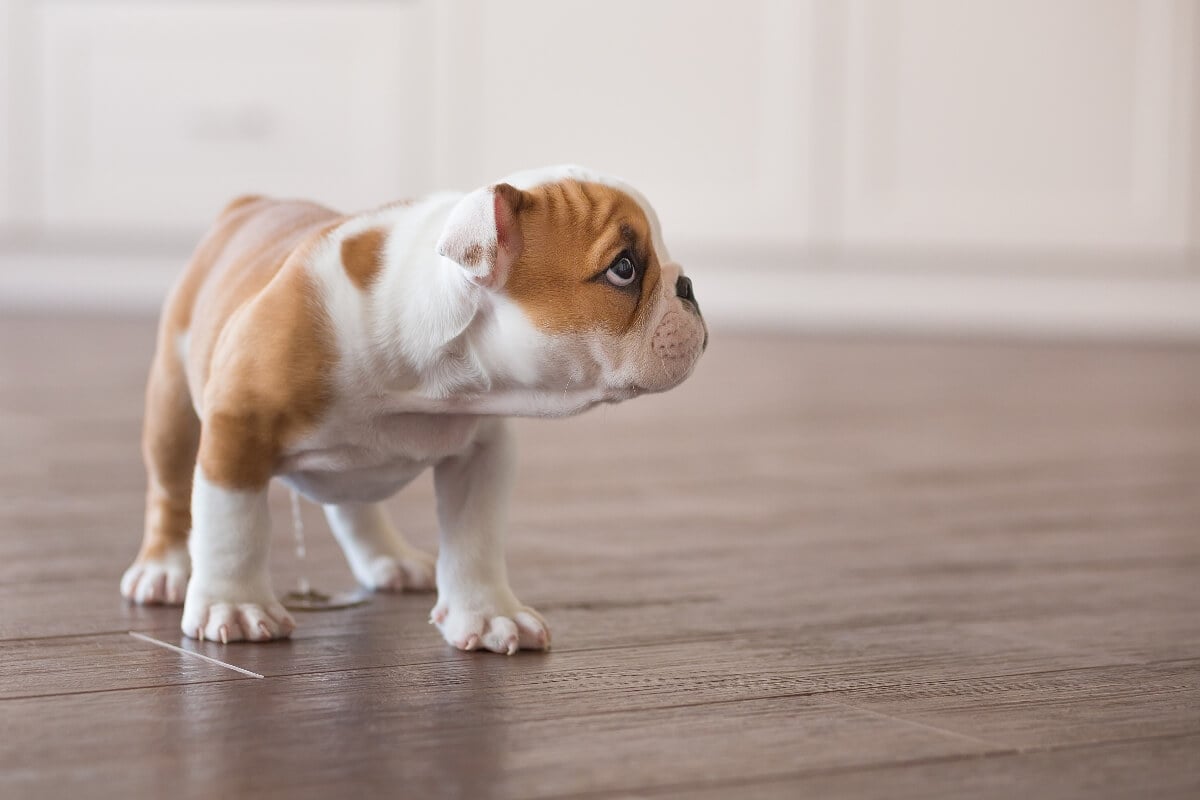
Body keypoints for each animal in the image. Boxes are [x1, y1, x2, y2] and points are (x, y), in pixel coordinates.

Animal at [118, 165, 705, 652]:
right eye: (623, 269)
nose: (688, 284)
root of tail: (248, 205)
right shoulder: (238, 428)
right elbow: (232, 526)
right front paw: (233, 605)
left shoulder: (483, 454)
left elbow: (475, 537)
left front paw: (488, 615)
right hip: (172, 404)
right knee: (170, 489)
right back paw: (164, 570)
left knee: (351, 503)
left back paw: (389, 559)